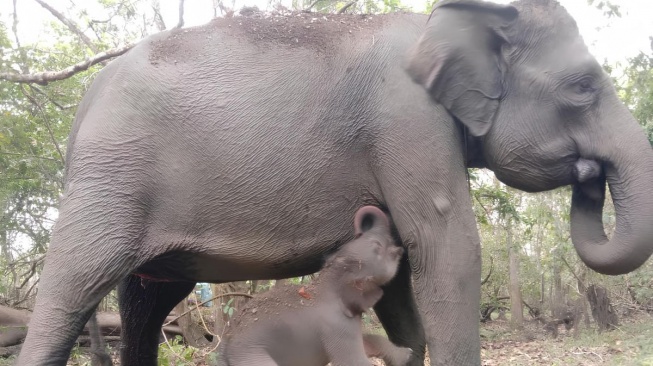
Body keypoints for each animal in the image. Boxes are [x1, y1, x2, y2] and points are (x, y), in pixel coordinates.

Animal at [222, 206, 410, 366]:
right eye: (377, 247)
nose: (360, 227)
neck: (325, 281)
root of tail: (226, 343)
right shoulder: (337, 325)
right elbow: (353, 361)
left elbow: (368, 340)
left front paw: (407, 354)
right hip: (251, 353)